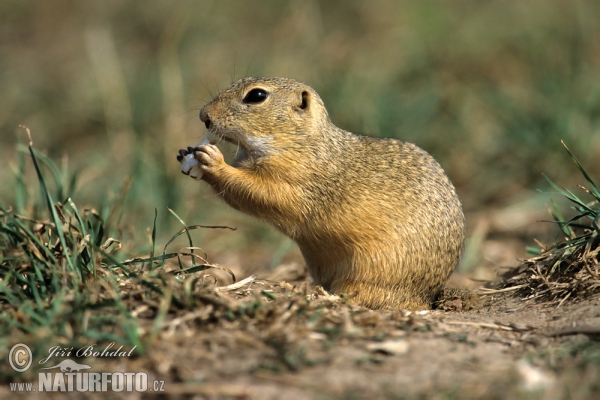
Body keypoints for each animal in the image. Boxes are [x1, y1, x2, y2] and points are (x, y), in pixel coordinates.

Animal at [176, 76, 466, 310]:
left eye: (256, 96)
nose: (204, 116)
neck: (300, 141)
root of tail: (421, 299)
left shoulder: (297, 179)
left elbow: (262, 193)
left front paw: (212, 161)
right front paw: (186, 154)